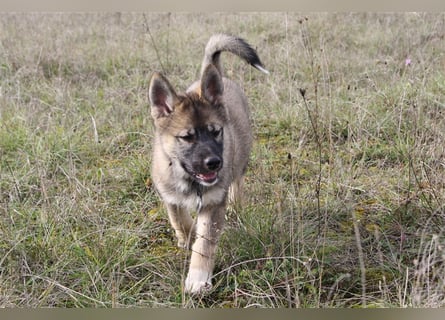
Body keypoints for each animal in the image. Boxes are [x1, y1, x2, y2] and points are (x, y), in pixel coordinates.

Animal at [148, 33, 268, 294]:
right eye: (187, 137)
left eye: (216, 132)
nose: (214, 163)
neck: (190, 181)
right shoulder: (170, 197)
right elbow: (181, 222)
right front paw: (187, 238)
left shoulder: (213, 204)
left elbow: (204, 245)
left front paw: (197, 279)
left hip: (240, 157)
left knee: (237, 181)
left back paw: (236, 205)